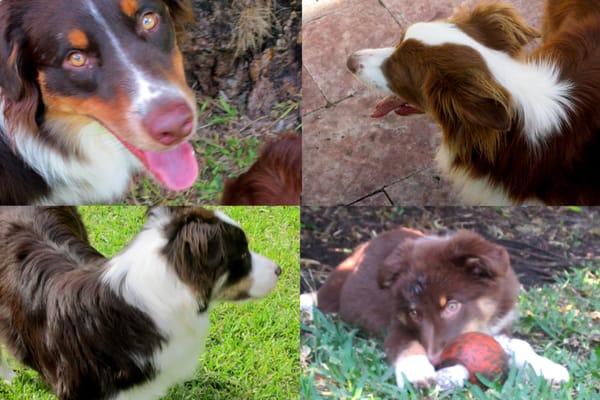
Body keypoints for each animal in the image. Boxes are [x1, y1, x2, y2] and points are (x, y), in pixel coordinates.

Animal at [302, 230, 568, 390]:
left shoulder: (499, 327)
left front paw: (547, 367)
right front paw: (417, 373)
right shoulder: (398, 326)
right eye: (414, 312)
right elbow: (408, 345)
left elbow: (520, 345)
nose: (435, 361)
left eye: (452, 306)